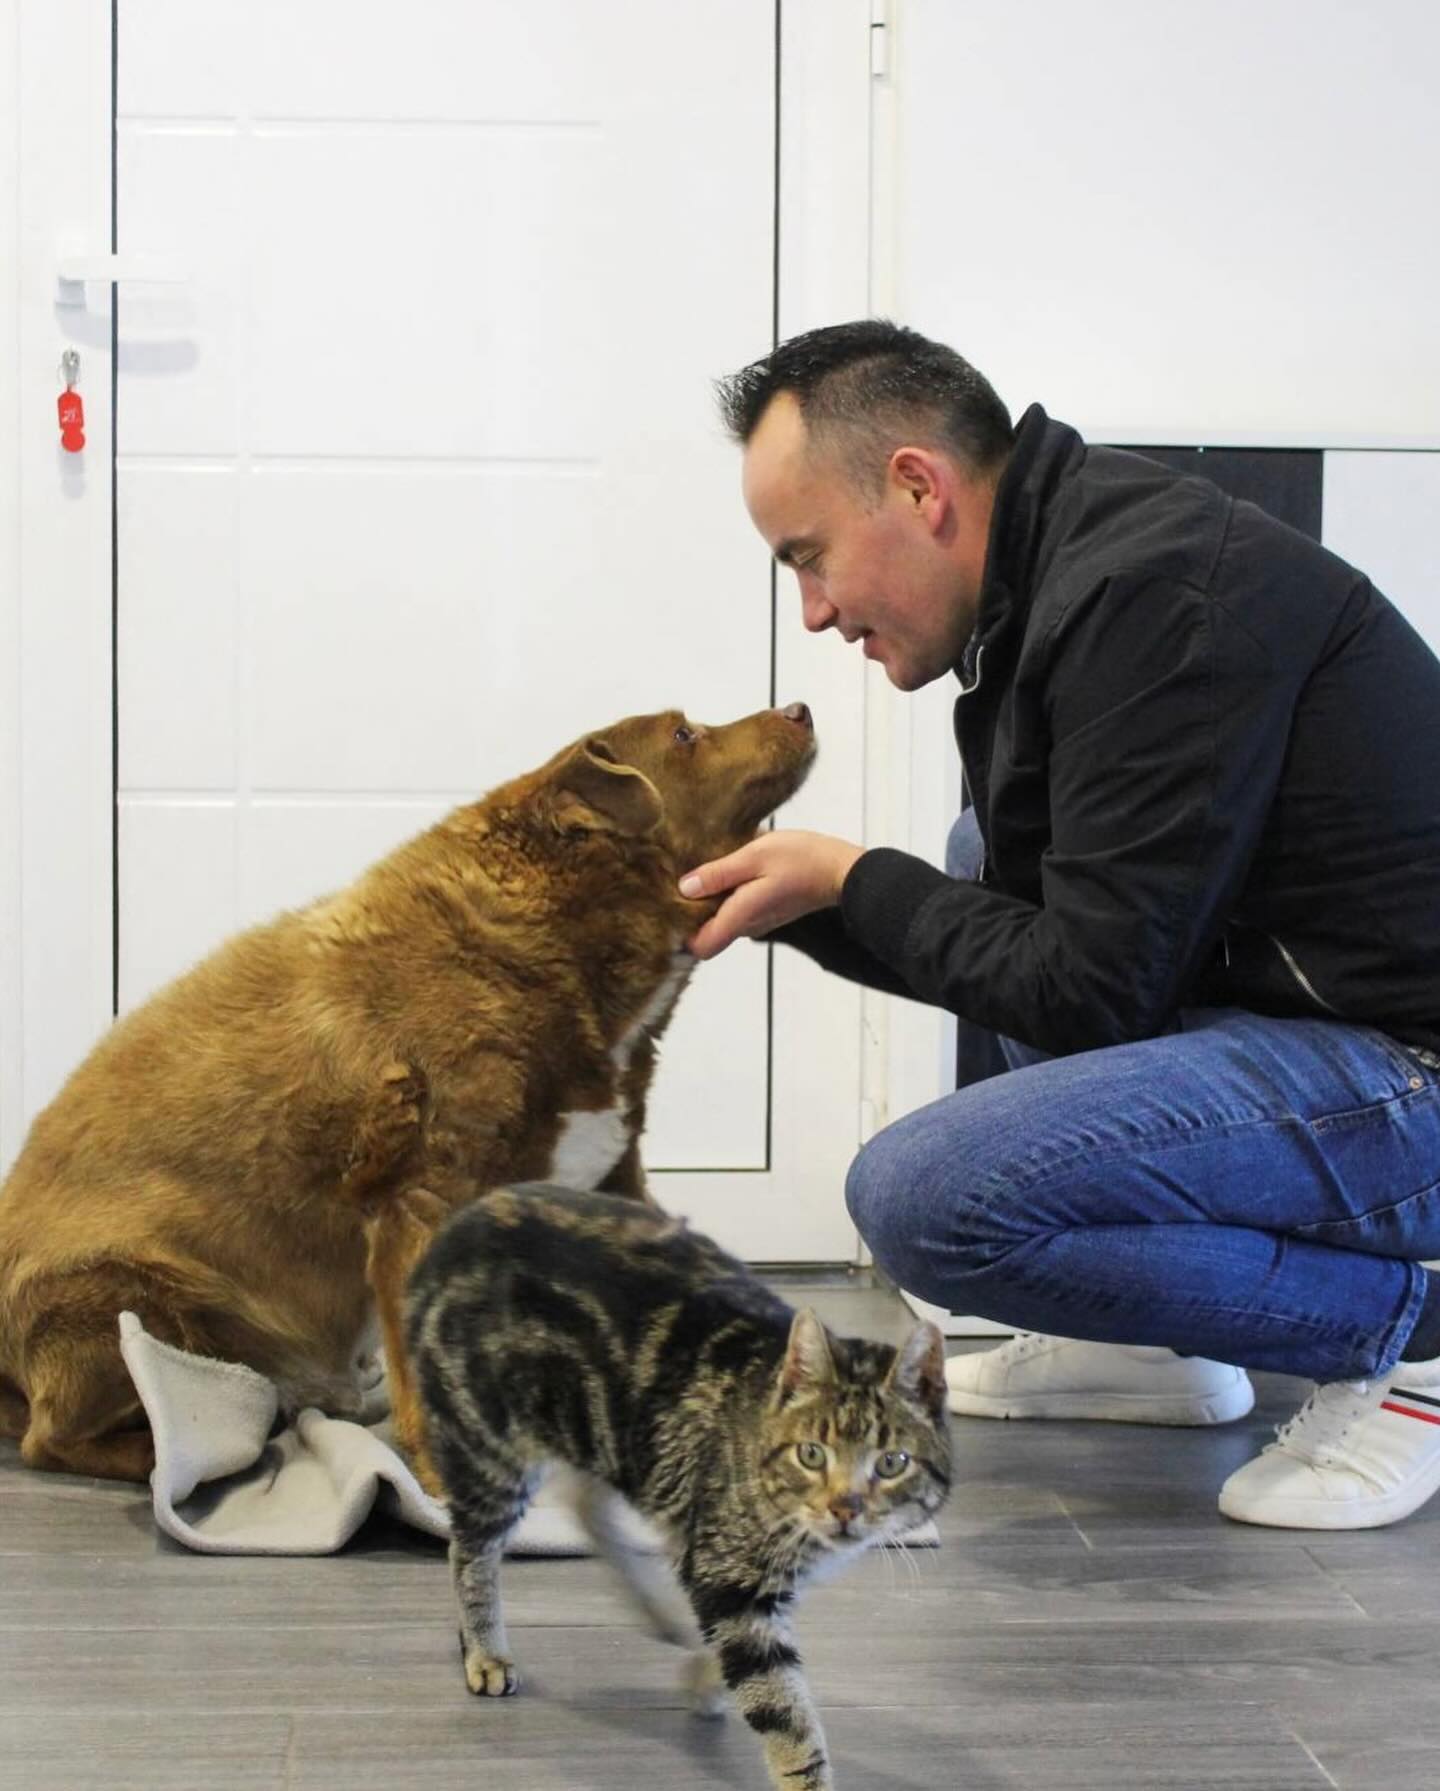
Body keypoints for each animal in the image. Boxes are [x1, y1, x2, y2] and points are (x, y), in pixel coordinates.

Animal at [0, 698, 816, 1482]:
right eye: (683, 734)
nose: (801, 708)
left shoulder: (610, 1170)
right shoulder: (422, 1197)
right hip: (128, 1299)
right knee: (54, 1436)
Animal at [404, 1182, 952, 1783]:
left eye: (892, 1463)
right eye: (812, 1454)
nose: (845, 1507)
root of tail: (458, 1223)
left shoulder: (743, 1583)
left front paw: (704, 1675)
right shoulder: (732, 1581)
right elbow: (785, 1714)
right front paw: (803, 1774)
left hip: (604, 1433)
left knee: (585, 1506)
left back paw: (658, 1611)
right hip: (491, 1450)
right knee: (470, 1551)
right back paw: (484, 1650)